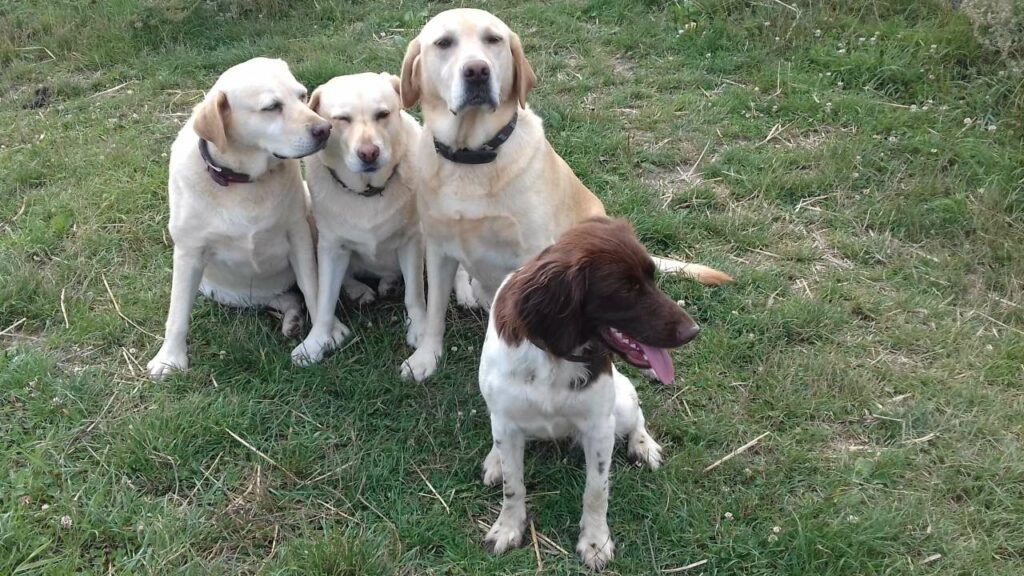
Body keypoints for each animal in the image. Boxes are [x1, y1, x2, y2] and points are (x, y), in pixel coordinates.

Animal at [146, 57, 337, 377]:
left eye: (302, 95)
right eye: (271, 107)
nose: (325, 129)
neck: (243, 182)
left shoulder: (298, 236)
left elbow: (313, 287)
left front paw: (329, 333)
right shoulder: (188, 253)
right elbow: (177, 311)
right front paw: (169, 357)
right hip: (221, 290)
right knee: (283, 297)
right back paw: (292, 318)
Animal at [290, 71, 425, 362]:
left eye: (383, 114)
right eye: (342, 119)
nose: (369, 153)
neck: (368, 193)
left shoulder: (412, 241)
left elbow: (415, 293)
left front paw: (419, 328)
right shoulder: (331, 247)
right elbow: (324, 300)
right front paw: (316, 341)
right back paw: (360, 289)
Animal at [397, 8, 729, 381]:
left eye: (493, 40)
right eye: (444, 43)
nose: (478, 71)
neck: (473, 157)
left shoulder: (531, 253)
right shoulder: (439, 249)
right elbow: (435, 312)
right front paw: (426, 357)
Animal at [477, 216, 700, 569]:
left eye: (652, 277)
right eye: (626, 290)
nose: (693, 331)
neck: (553, 357)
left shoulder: (599, 427)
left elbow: (597, 491)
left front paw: (595, 542)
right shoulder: (505, 420)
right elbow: (514, 486)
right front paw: (507, 528)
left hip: (621, 403)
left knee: (637, 414)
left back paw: (643, 445)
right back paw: (494, 460)